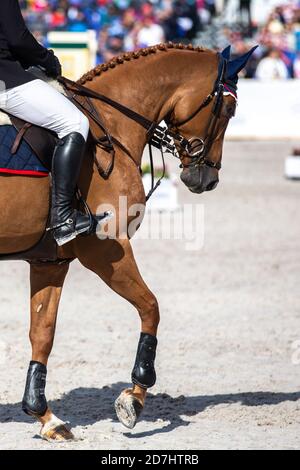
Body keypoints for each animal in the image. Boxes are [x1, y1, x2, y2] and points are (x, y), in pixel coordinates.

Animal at [0, 41, 255, 440]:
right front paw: (134, 397)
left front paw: (45, 416)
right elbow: (151, 307)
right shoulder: (105, 249)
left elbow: (42, 332)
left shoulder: (50, 260)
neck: (108, 124)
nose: (206, 179)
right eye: (228, 109)